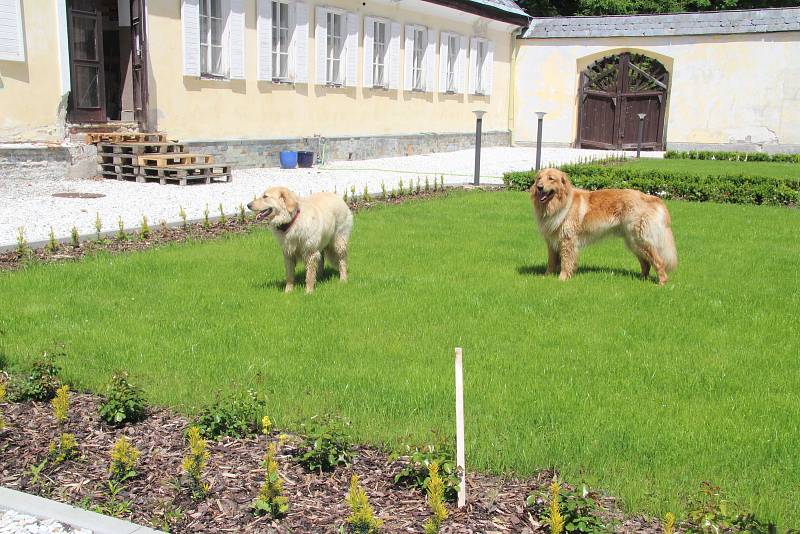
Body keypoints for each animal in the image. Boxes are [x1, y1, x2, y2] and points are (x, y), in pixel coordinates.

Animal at [532, 170, 676, 286]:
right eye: (539, 178)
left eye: (551, 178)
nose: (539, 187)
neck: (560, 204)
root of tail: (649, 197)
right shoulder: (552, 242)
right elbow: (551, 261)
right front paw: (547, 276)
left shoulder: (567, 240)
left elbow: (566, 262)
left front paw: (562, 278)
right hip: (633, 242)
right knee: (646, 263)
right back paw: (641, 280)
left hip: (640, 239)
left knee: (658, 261)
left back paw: (662, 282)